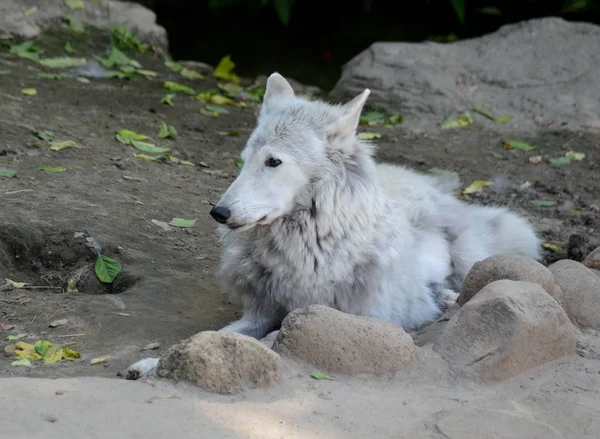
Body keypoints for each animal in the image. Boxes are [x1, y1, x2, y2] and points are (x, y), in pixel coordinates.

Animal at [129, 74, 540, 380]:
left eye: (273, 162)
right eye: (244, 160)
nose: (219, 212)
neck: (306, 244)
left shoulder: (325, 320)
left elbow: (271, 341)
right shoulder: (259, 312)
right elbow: (213, 336)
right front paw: (156, 362)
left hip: (470, 252)